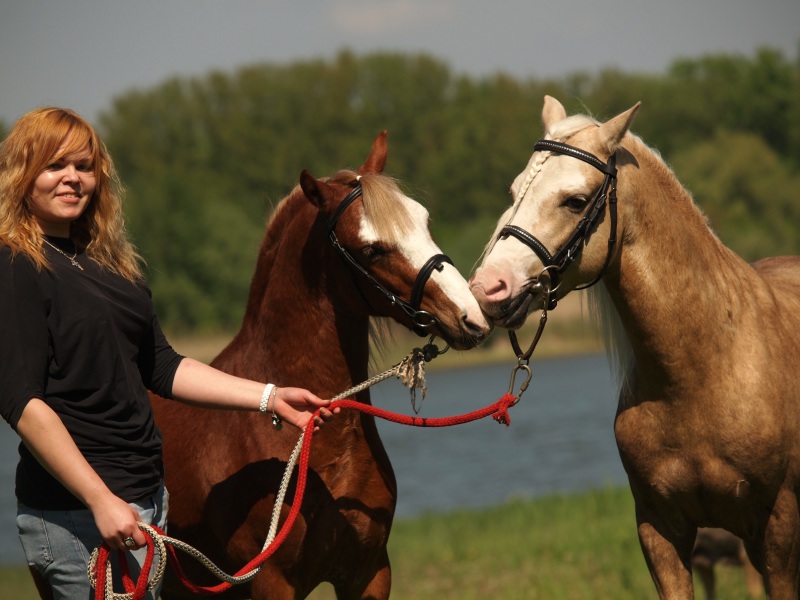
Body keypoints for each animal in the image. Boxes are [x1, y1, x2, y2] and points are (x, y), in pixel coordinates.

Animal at [472, 96, 800, 596]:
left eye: (575, 200)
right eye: (515, 190)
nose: (488, 288)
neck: (703, 372)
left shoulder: (777, 534)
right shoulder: (660, 531)